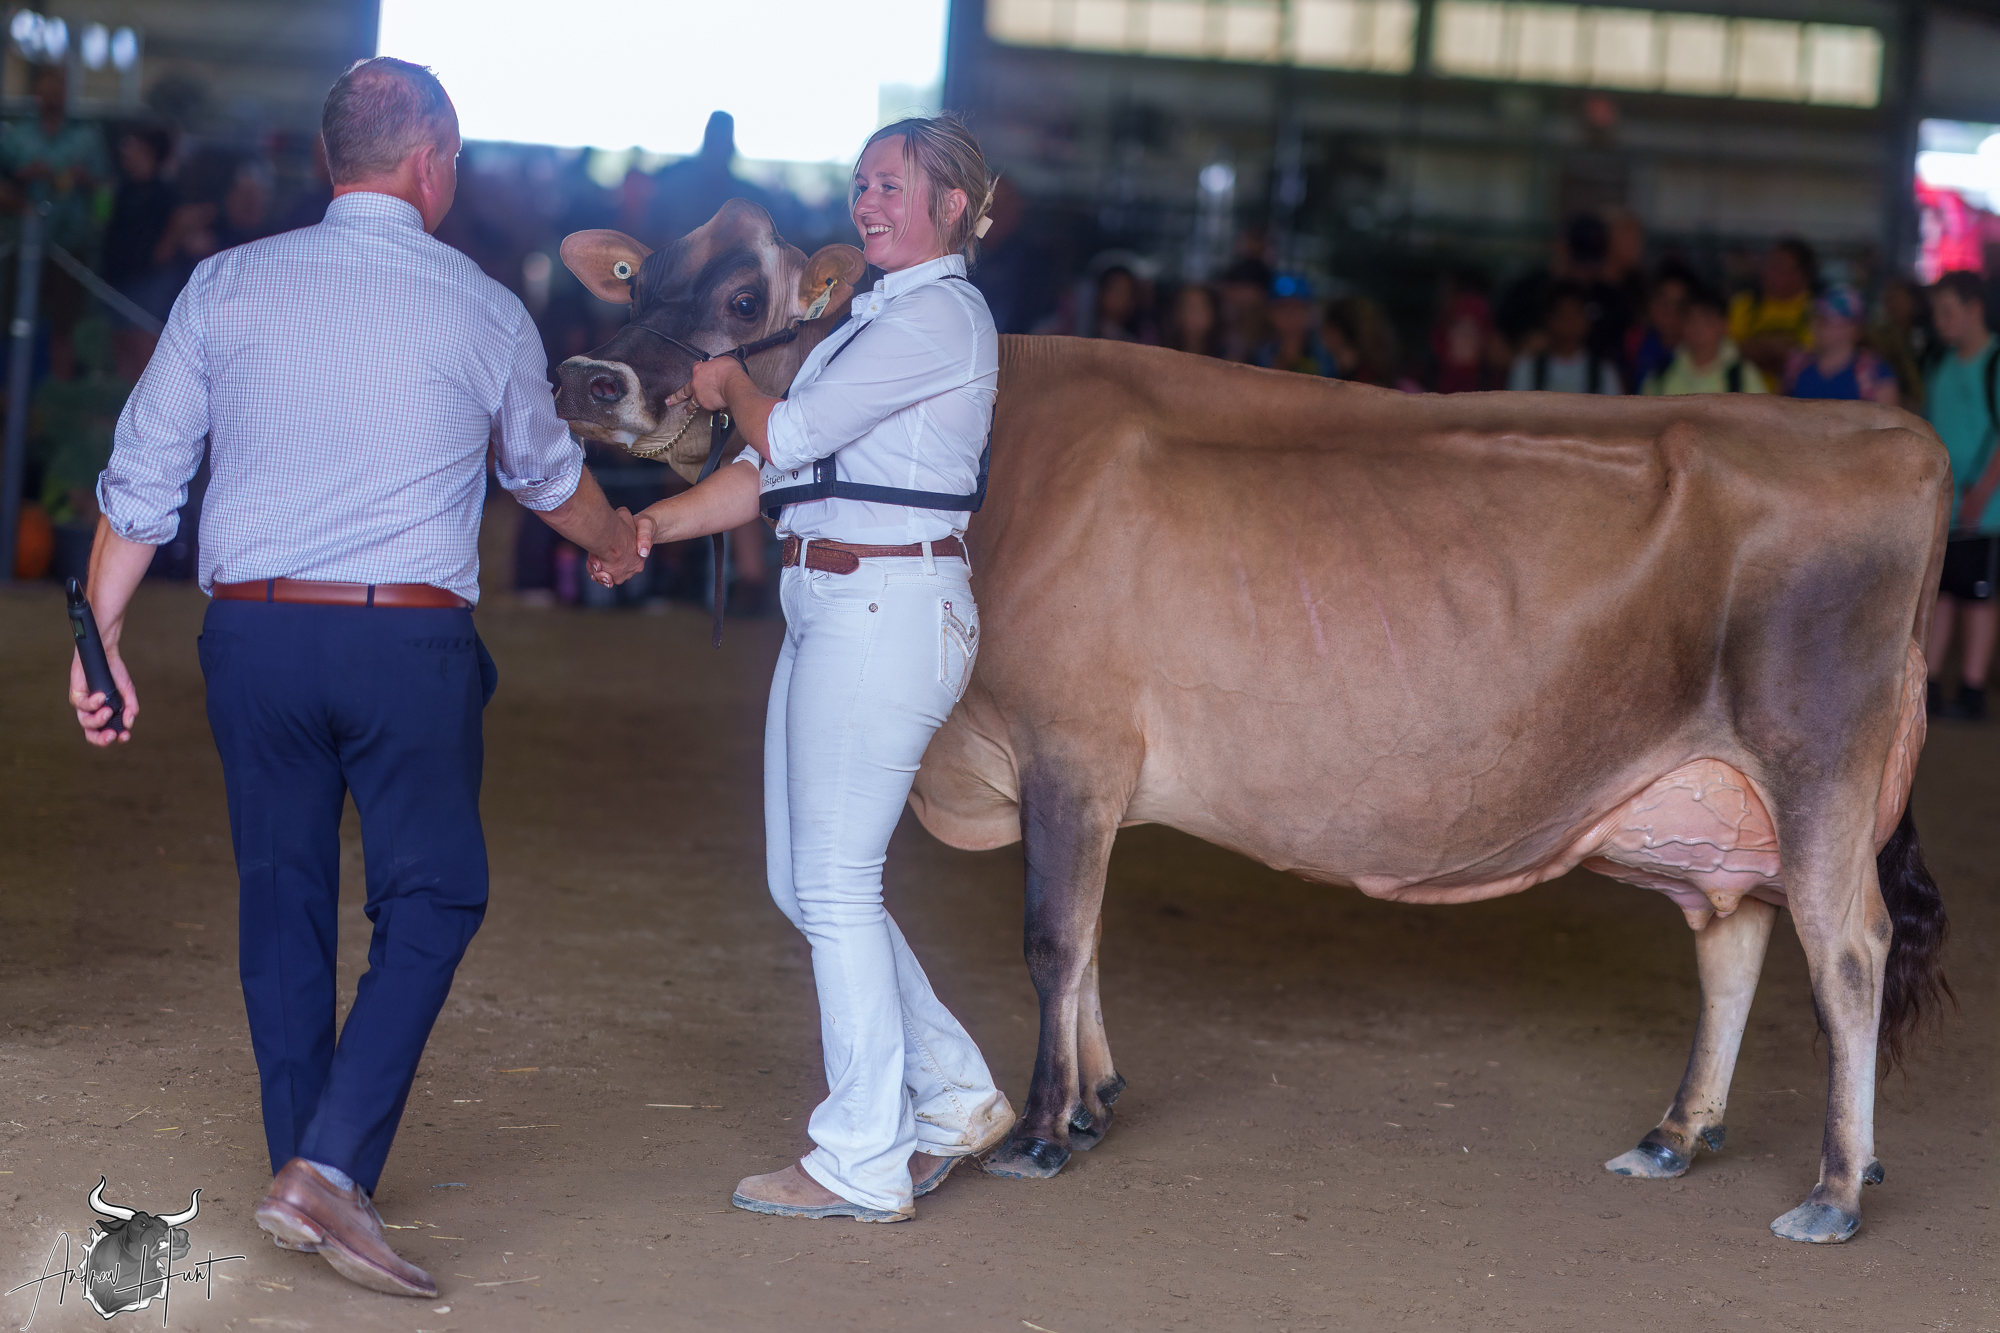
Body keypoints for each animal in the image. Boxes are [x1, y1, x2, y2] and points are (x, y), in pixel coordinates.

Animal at [555, 201, 1951, 1245]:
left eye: (746, 300)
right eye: (636, 276)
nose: (585, 374)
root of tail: (1893, 435)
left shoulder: (1072, 747)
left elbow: (1051, 939)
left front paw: (1046, 1132)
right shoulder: (1086, 769)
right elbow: (1093, 937)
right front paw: (1097, 1102)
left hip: (1817, 761)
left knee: (1844, 950)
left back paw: (1832, 1188)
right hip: (1723, 789)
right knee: (1730, 936)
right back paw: (1676, 1135)